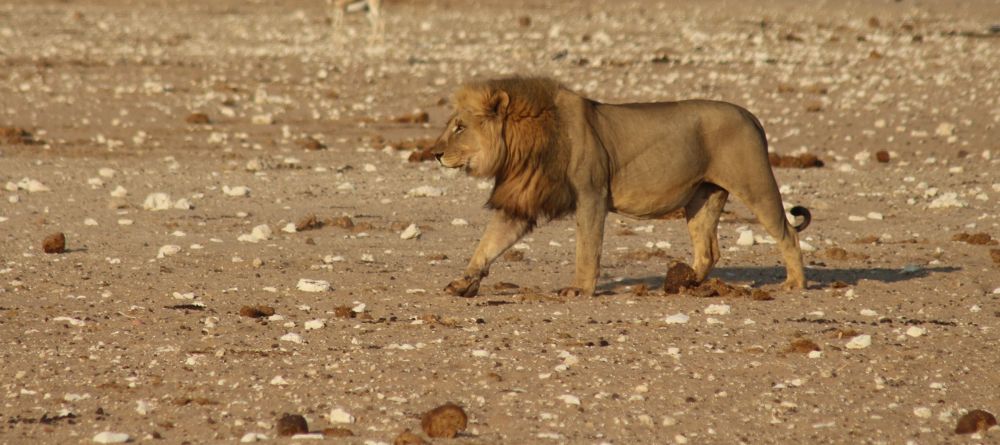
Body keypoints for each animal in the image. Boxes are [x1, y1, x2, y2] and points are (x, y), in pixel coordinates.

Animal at [431, 77, 811, 297]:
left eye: (460, 128)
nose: (434, 154)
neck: (522, 146)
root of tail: (751, 115)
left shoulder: (592, 195)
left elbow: (587, 248)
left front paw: (580, 289)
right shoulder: (520, 204)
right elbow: (487, 245)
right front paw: (464, 283)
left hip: (755, 183)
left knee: (787, 234)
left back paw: (795, 284)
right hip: (702, 198)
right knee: (708, 251)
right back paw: (686, 284)